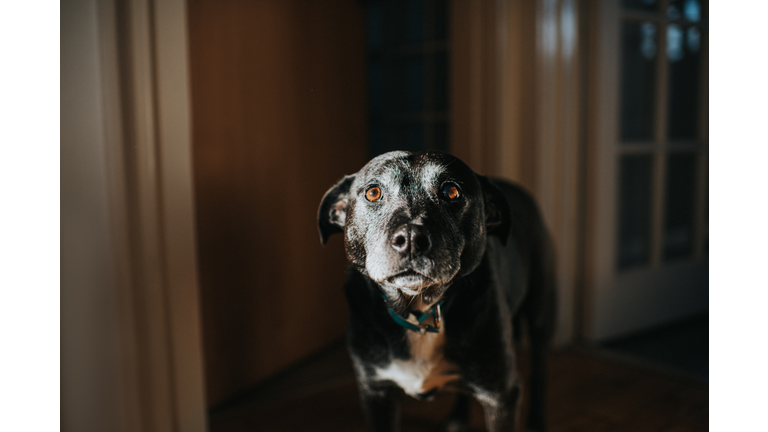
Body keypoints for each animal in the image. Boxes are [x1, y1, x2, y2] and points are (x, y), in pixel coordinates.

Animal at [316, 152, 556, 432]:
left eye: (451, 191)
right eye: (373, 193)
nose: (410, 238)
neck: (420, 310)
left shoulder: (501, 395)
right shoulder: (376, 391)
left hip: (540, 315)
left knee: (540, 372)